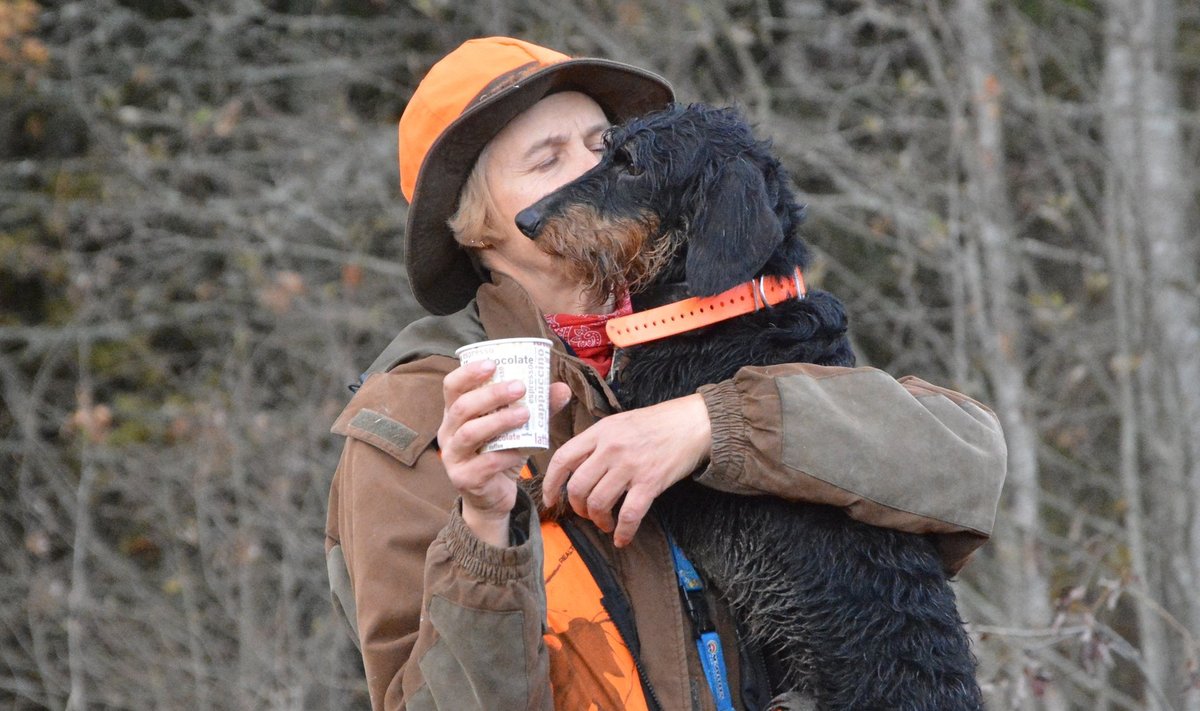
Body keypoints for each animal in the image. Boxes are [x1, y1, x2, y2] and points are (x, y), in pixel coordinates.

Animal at [518, 101, 984, 711]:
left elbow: (567, 466)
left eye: (633, 166)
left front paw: (519, 490)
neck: (722, 313)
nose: (525, 219)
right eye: (605, 151)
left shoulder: (647, 471)